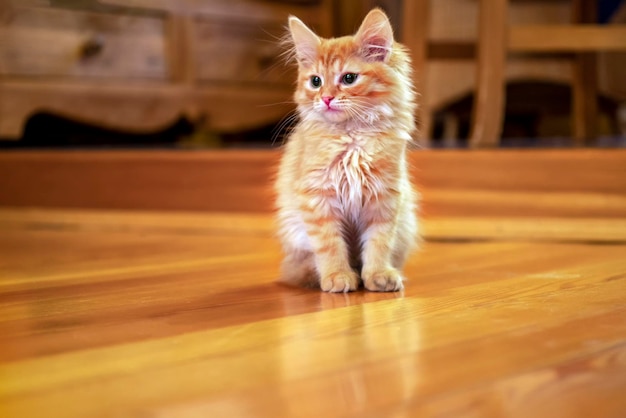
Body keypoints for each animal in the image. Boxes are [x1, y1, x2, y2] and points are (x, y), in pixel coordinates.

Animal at [274, 8, 416, 292]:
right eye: (315, 81)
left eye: (349, 78)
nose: (326, 98)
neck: (352, 138)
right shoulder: (317, 197)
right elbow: (329, 245)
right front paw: (337, 276)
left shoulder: (384, 197)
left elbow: (379, 243)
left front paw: (377, 274)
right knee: (299, 269)